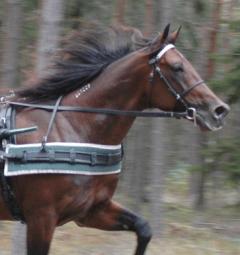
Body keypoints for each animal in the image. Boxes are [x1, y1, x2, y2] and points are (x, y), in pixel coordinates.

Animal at [0, 24, 229, 255]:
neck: (75, 128)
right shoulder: (42, 217)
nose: (219, 110)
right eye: (177, 67)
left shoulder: (92, 210)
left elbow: (144, 228)